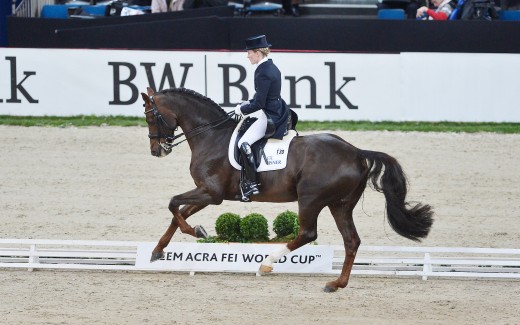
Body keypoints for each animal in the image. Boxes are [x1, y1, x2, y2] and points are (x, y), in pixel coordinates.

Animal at [139, 86, 434, 292]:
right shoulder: (207, 192)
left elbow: (173, 204)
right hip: (340, 204)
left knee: (307, 233)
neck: (211, 136)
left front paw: (197, 232)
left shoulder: (212, 193)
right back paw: (336, 284)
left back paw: (266, 263)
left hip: (311, 199)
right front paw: (158, 251)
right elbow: (179, 213)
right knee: (351, 240)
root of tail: (356, 153)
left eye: (151, 117)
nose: (156, 150)